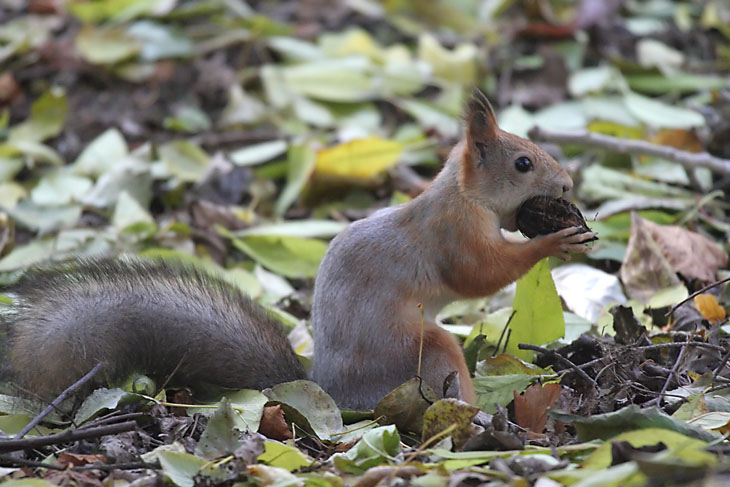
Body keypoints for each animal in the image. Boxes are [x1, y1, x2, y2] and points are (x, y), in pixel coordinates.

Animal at [0, 89, 592, 410]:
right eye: (523, 164)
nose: (566, 186)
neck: (464, 195)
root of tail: (326, 389)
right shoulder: (454, 233)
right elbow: (479, 274)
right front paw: (554, 241)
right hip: (415, 348)